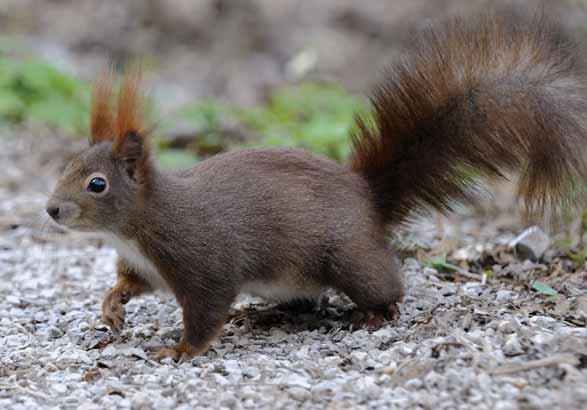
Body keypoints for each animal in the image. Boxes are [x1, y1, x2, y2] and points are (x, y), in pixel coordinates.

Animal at [48, 11, 587, 360]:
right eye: (68, 165)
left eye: (97, 184)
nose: (51, 210)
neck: (136, 227)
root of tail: (369, 200)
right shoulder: (143, 264)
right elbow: (130, 284)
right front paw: (112, 305)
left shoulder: (203, 260)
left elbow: (205, 311)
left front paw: (180, 350)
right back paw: (265, 316)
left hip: (347, 258)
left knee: (386, 284)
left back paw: (376, 314)